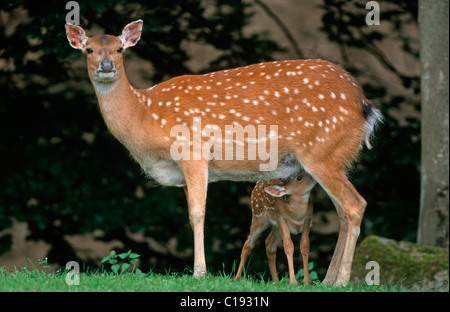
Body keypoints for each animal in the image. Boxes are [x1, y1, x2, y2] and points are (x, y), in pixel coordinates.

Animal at [66, 20, 384, 288]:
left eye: (119, 48)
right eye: (89, 49)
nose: (106, 65)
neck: (145, 114)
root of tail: (364, 104)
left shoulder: (193, 151)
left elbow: (197, 213)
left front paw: (199, 273)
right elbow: (192, 214)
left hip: (322, 153)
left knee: (355, 205)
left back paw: (341, 280)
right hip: (335, 159)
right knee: (343, 212)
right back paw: (328, 280)